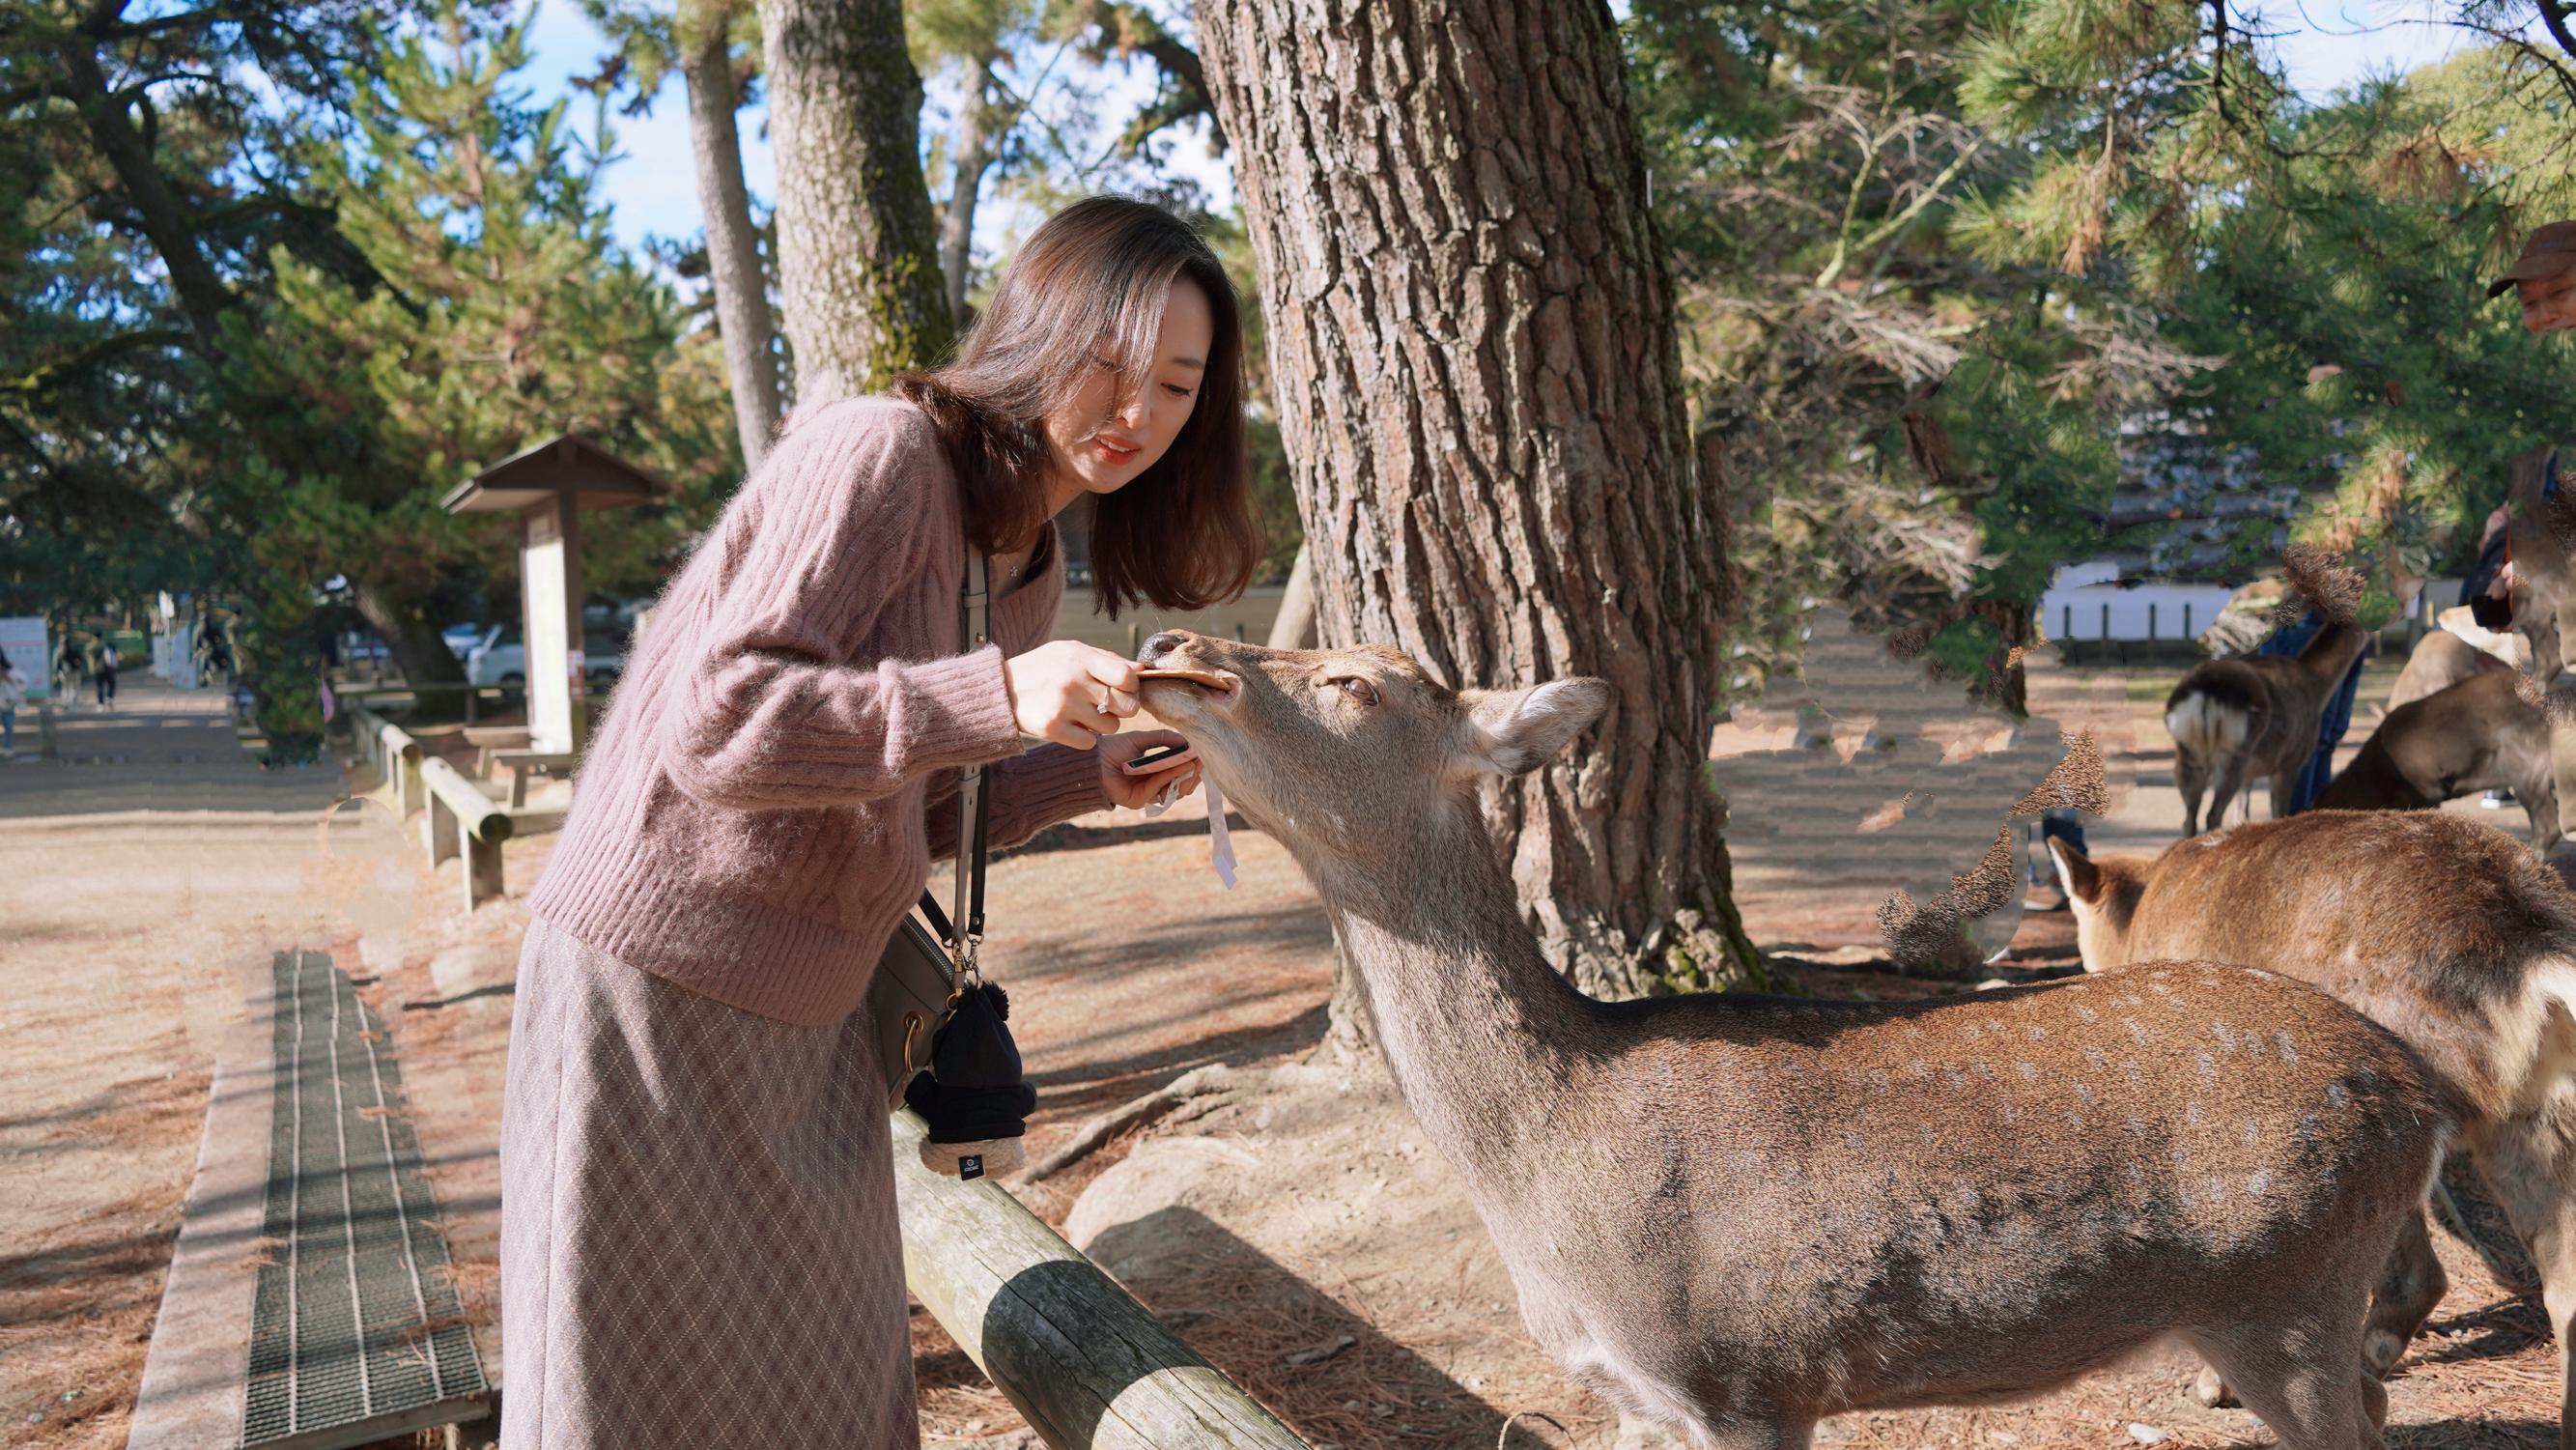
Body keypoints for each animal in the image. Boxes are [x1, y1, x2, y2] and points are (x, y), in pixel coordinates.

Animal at [1148, 633, 2451, 1450]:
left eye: (1357, 680)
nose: (1167, 649)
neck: (1541, 1174)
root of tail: (2420, 1096)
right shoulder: (1638, 1400)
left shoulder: (1743, 1375)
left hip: (2288, 1290)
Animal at [2164, 548, 2359, 839]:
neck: (2316, 684)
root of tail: (2206, 693)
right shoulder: (2291, 760)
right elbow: (2281, 813)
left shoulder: (2251, 774)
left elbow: (2241, 816)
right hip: (2234, 751)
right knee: (2212, 815)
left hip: (2187, 751)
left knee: (2188, 820)